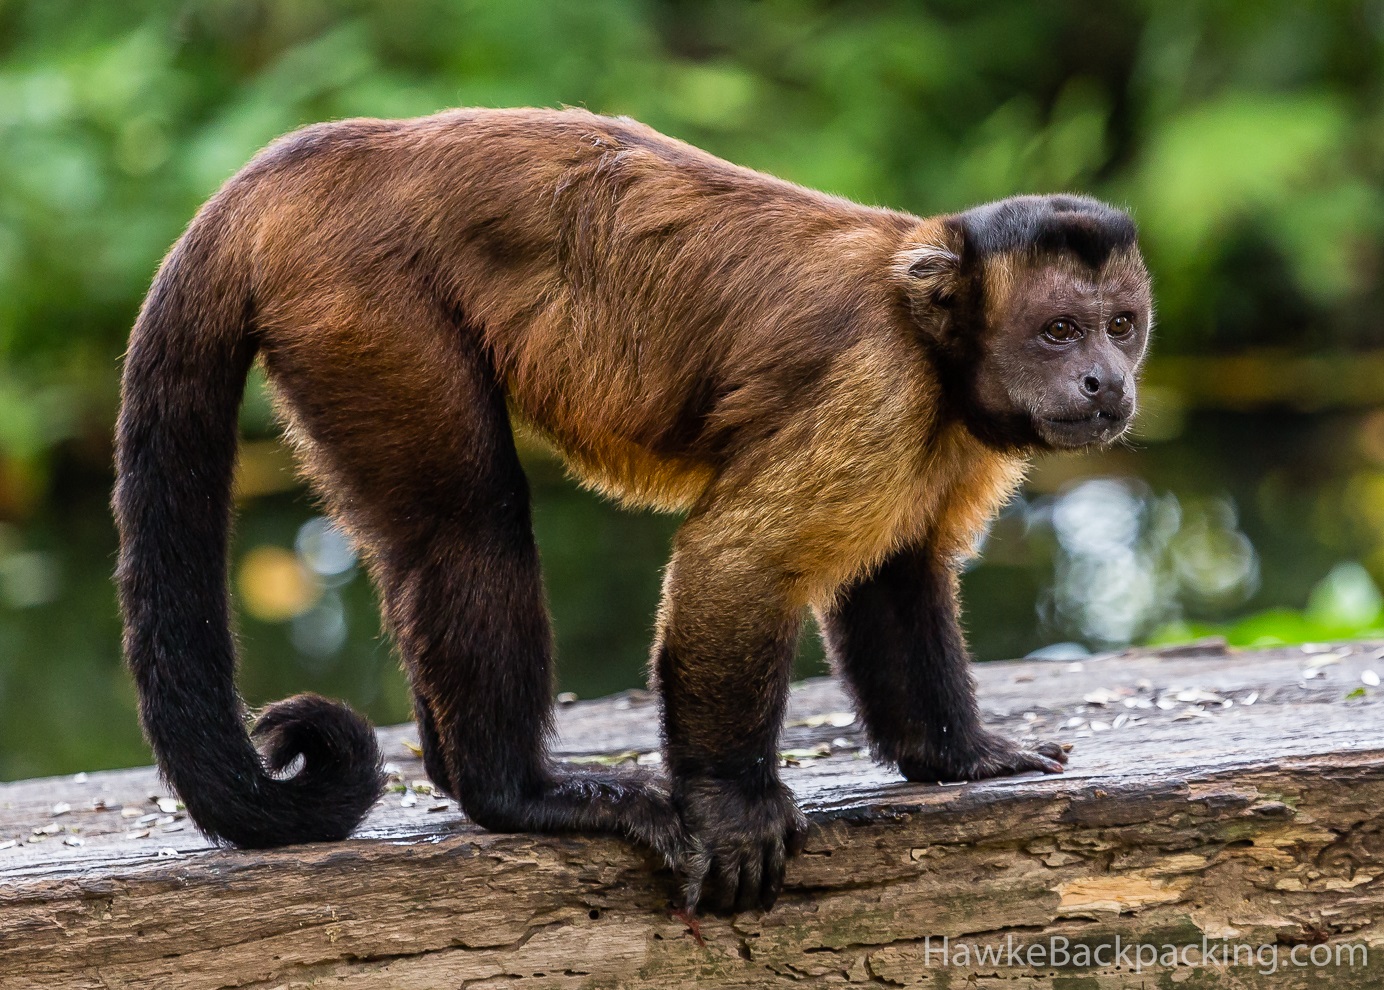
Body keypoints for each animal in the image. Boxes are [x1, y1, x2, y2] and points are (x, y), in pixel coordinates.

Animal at [107, 106, 1151, 913]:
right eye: (1059, 332)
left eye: (1122, 327)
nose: (1106, 381)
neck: (933, 345)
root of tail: (319, 155)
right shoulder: (878, 388)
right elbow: (738, 562)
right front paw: (731, 809)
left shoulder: (944, 435)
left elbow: (897, 574)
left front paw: (959, 756)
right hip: (359, 298)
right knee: (467, 524)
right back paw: (516, 792)